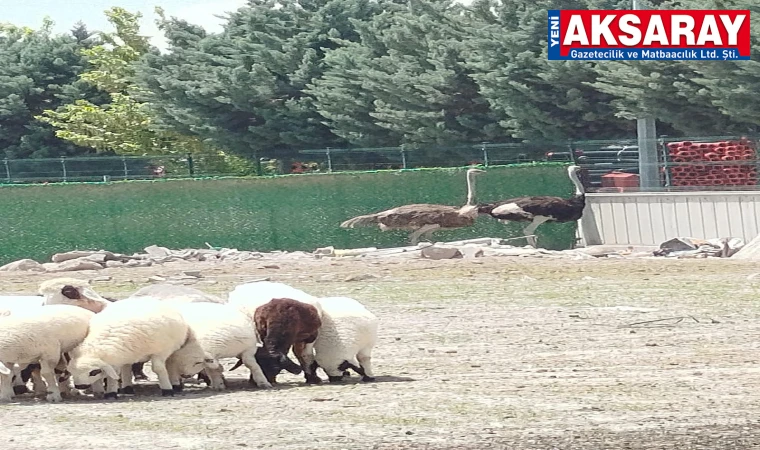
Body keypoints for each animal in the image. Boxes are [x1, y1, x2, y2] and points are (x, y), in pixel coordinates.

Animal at [67, 298, 211, 398]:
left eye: (93, 372)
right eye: (72, 372)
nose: (80, 386)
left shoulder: (160, 352)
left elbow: (158, 369)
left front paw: (167, 390)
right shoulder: (115, 358)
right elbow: (114, 374)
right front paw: (111, 393)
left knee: (169, 364)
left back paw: (175, 384)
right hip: (128, 354)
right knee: (126, 368)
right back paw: (127, 388)